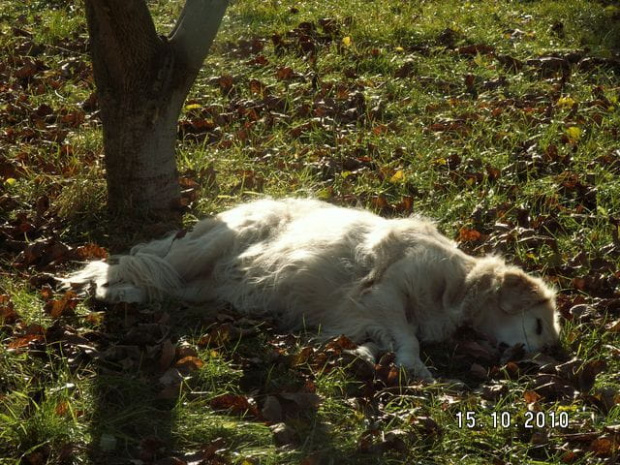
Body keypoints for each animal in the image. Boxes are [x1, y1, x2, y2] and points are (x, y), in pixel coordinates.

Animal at [64, 198, 560, 378]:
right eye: (539, 324)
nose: (554, 356)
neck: (456, 283)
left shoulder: (359, 314)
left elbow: (374, 340)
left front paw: (361, 356)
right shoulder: (383, 291)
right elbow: (408, 337)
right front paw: (415, 367)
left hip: (201, 287)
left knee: (158, 285)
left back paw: (120, 295)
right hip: (205, 250)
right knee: (133, 263)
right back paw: (105, 288)